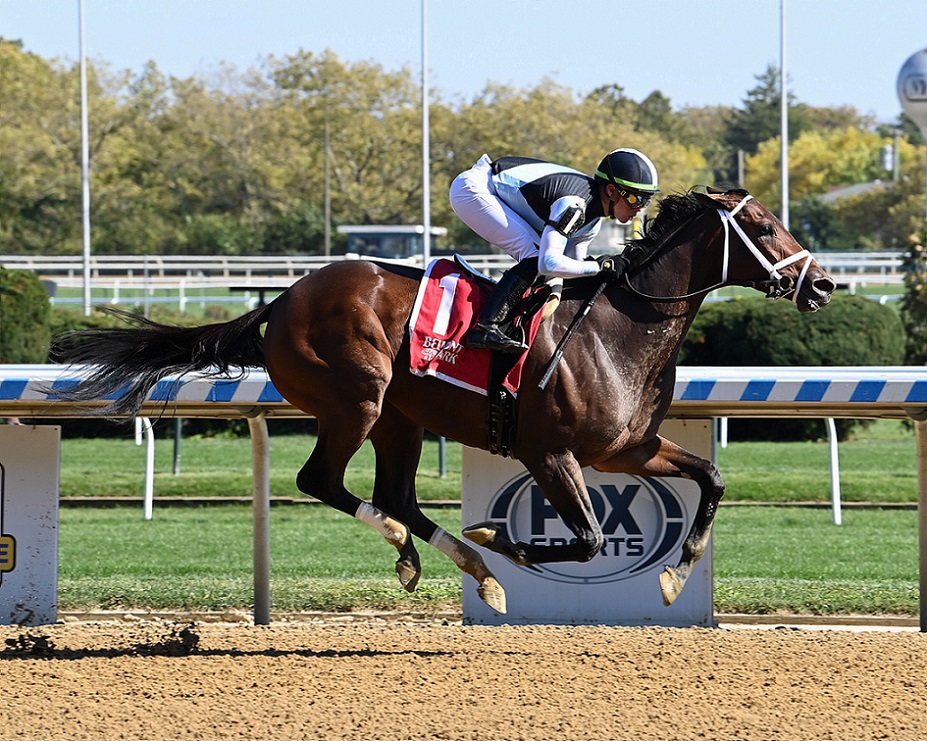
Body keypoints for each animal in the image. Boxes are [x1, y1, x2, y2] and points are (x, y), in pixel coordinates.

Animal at [51, 187, 836, 615]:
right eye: (762, 227)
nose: (823, 284)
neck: (617, 328)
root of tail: (282, 299)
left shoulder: (626, 448)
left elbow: (712, 478)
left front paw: (675, 574)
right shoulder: (549, 451)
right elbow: (583, 538)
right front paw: (497, 537)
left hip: (400, 417)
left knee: (394, 495)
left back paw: (457, 567)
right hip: (358, 399)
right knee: (322, 480)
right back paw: (437, 551)